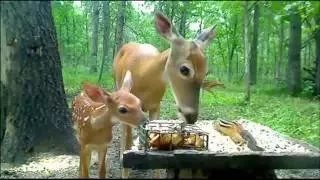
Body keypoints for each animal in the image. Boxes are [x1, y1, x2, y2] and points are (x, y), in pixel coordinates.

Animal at [113, 11, 218, 179]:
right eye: (184, 69)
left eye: (206, 71)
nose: (191, 117)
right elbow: (126, 144)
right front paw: (124, 164)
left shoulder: (156, 105)